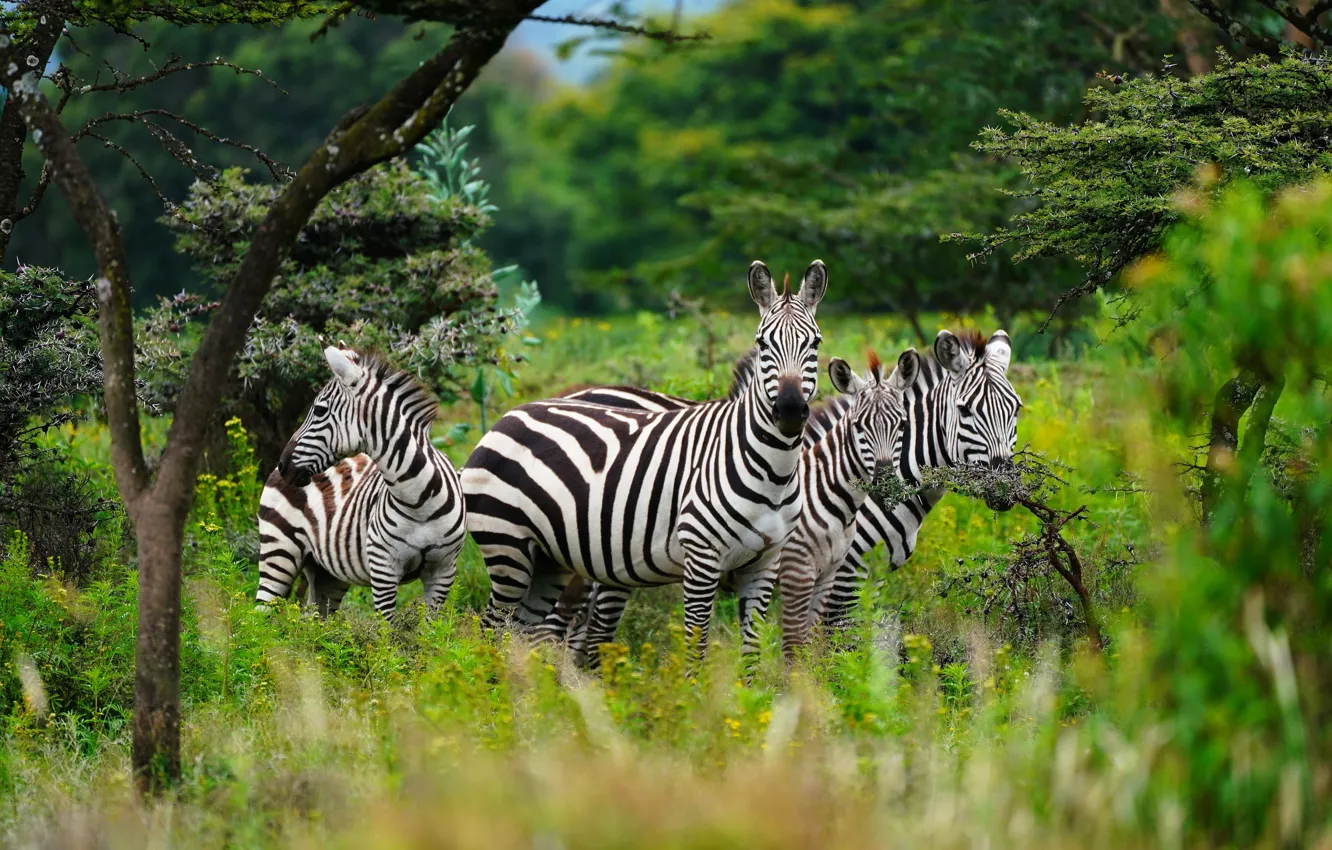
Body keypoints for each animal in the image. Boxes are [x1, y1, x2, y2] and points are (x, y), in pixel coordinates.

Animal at [255, 346, 467, 619]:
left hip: (326, 573)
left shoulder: (443, 571)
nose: (284, 465)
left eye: (320, 410)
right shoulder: (384, 568)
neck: (419, 501)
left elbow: (430, 628)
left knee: (314, 620)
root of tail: (272, 472)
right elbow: (388, 629)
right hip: (278, 551)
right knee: (258, 618)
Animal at [461, 259, 827, 665]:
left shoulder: (765, 564)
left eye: (815, 343)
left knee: (526, 634)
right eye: (763, 343)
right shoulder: (702, 558)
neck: (771, 471)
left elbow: (751, 654)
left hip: (548, 557)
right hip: (508, 545)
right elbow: (696, 649)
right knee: (498, 631)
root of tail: (507, 416)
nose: (790, 410)